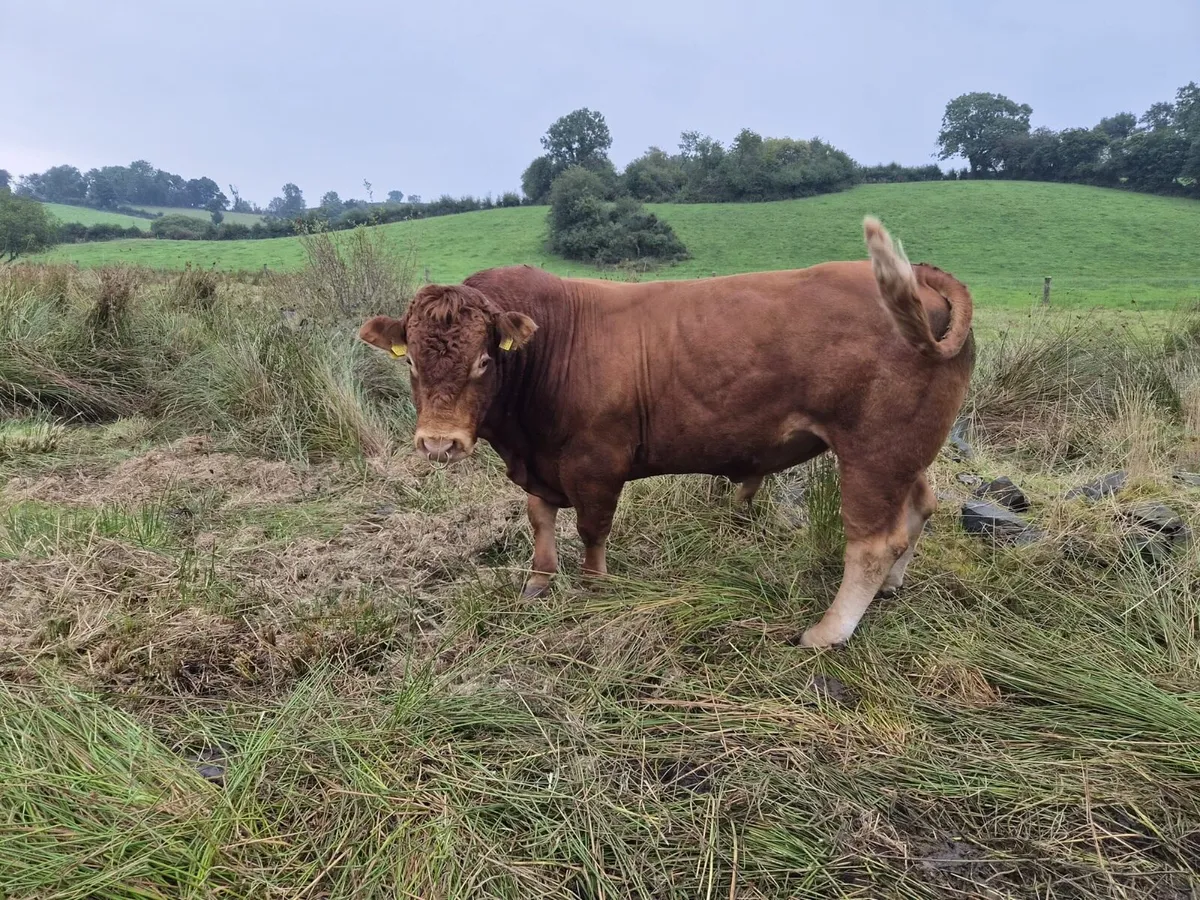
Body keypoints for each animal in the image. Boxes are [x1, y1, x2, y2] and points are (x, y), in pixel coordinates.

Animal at [358, 217, 974, 647]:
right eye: (412, 363)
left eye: (484, 361)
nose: (439, 442)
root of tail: (922, 278)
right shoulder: (542, 463)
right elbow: (540, 519)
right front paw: (538, 582)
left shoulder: (595, 462)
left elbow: (592, 530)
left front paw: (594, 588)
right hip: (906, 451)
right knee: (919, 506)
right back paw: (892, 586)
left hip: (873, 451)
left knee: (873, 542)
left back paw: (826, 633)